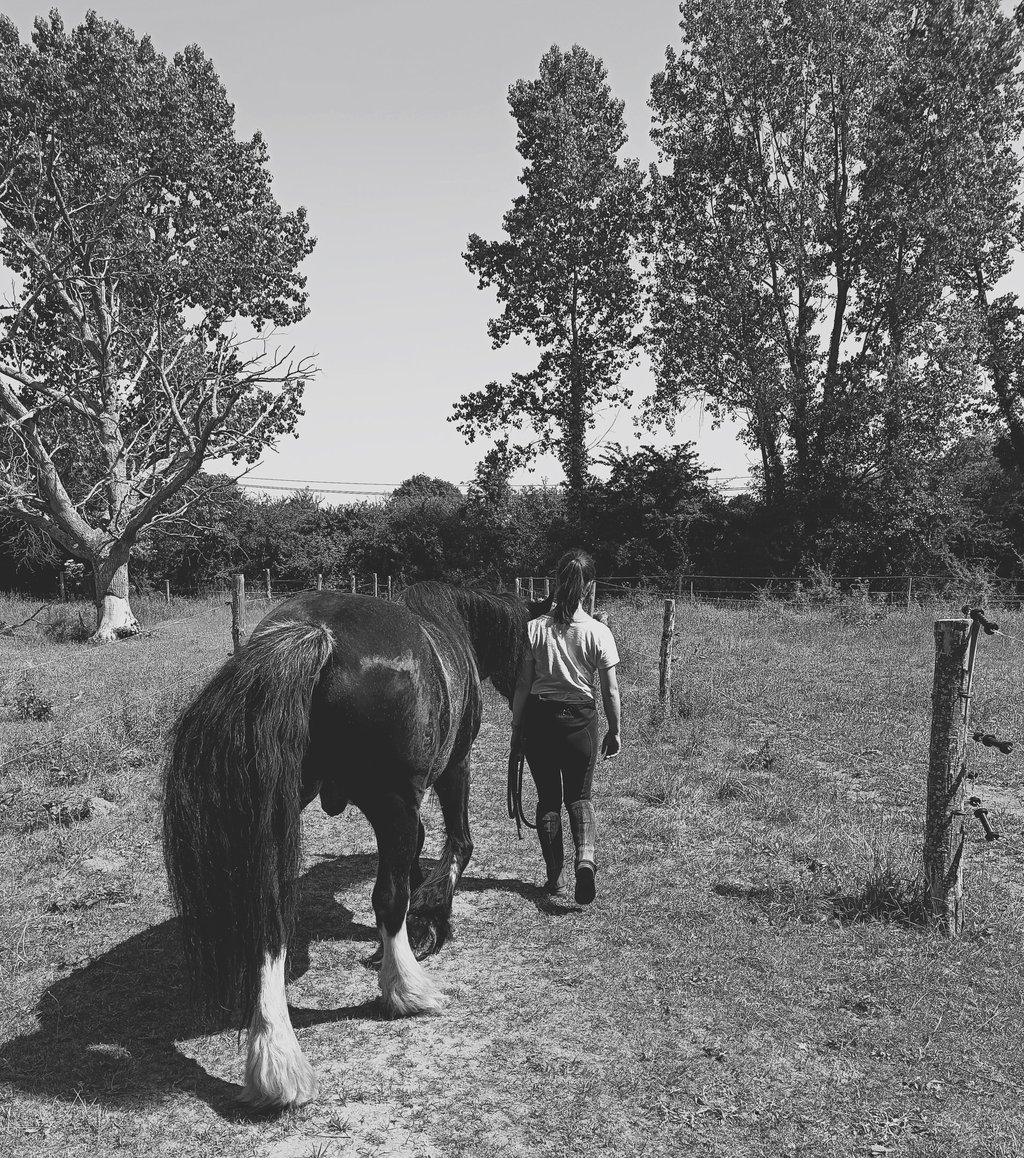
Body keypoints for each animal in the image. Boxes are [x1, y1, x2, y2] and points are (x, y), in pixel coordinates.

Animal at [162, 582, 534, 1111]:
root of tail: (316, 635)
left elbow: (418, 856)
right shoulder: (450, 771)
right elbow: (455, 847)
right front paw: (433, 920)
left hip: (279, 807)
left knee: (268, 916)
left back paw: (276, 1060)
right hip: (391, 801)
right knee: (388, 899)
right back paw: (407, 990)